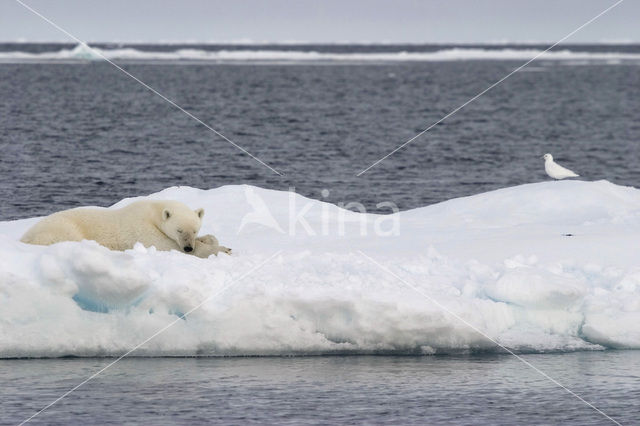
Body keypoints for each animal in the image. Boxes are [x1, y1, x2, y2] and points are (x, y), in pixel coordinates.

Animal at [20, 201, 232, 260]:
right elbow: (166, 246)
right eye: (179, 230)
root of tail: (25, 237)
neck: (152, 211)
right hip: (61, 229)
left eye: (194, 230)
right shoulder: (143, 230)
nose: (188, 247)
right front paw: (224, 250)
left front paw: (211, 239)